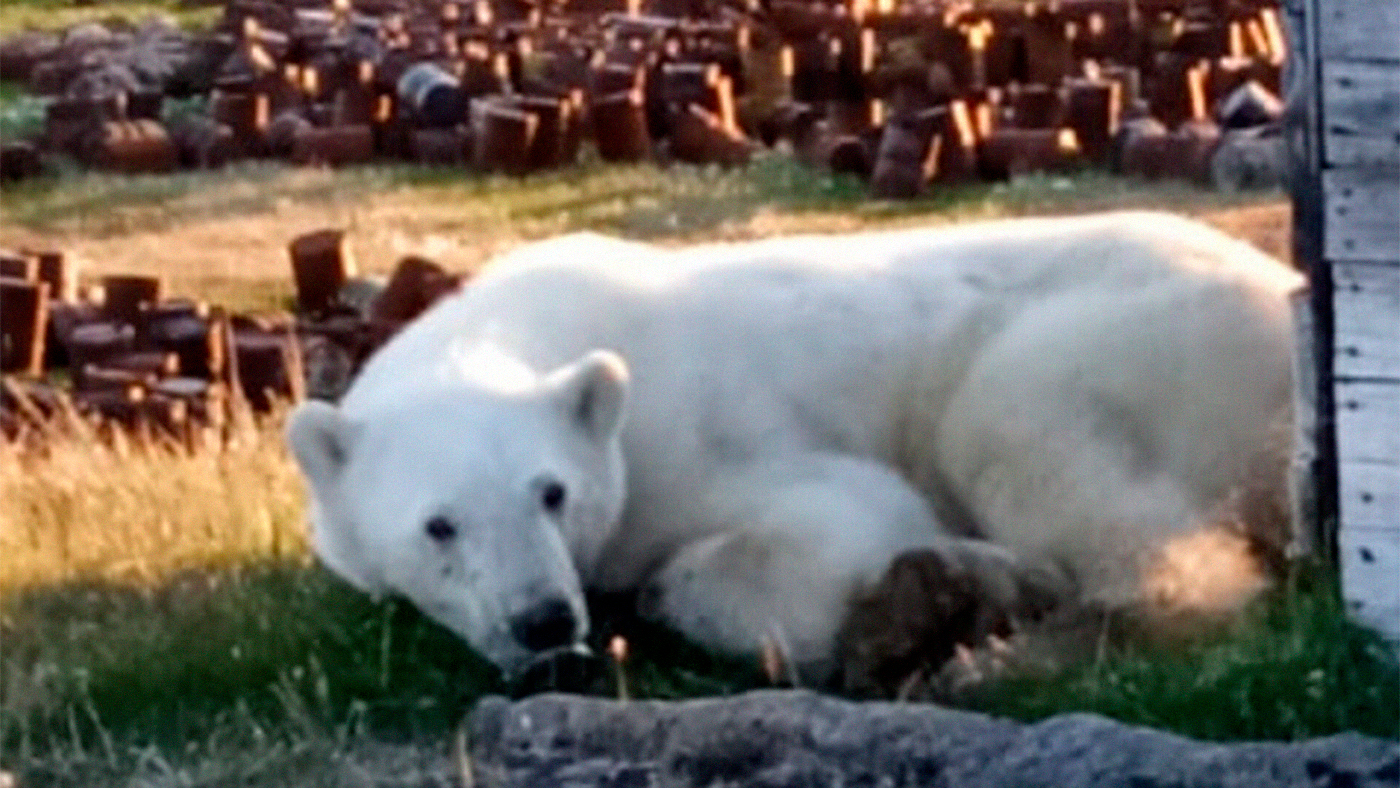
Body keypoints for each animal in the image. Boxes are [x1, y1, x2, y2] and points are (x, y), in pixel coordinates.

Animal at [289, 212, 1304, 680]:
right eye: (439, 525)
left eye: (552, 492)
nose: (543, 620)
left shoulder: (694, 436)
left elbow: (837, 523)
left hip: (1136, 337)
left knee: (1026, 437)